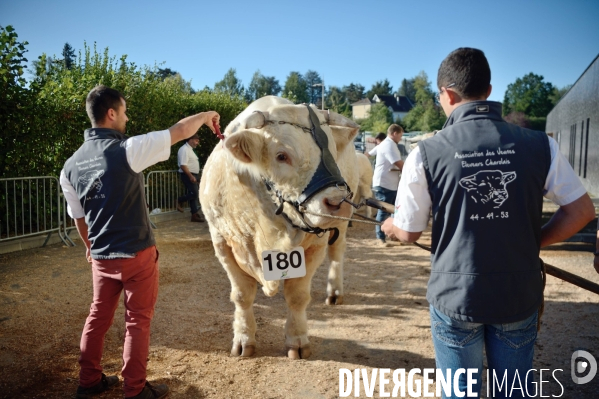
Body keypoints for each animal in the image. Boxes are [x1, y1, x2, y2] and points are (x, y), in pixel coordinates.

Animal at [202, 96, 358, 360]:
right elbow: (242, 295)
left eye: (333, 152)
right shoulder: (222, 242)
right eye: (282, 155)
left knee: (337, 253)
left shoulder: (314, 247)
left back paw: (334, 292)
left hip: (340, 228)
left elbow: (298, 296)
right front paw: (243, 339)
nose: (338, 202)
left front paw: (297, 340)